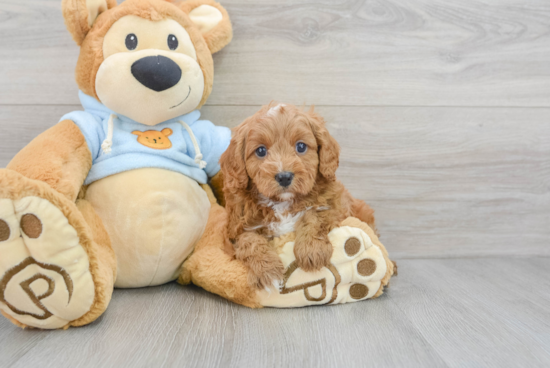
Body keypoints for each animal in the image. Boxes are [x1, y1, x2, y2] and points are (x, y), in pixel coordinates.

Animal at [222, 102, 378, 288]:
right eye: (260, 151)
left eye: (301, 146)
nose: (284, 176)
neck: (282, 203)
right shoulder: (234, 229)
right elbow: (249, 240)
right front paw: (267, 271)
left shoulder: (333, 206)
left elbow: (315, 216)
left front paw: (311, 250)